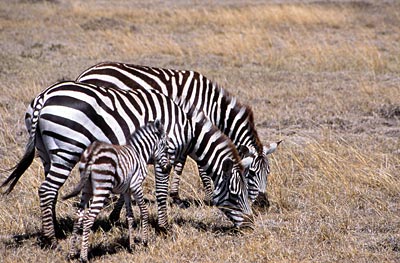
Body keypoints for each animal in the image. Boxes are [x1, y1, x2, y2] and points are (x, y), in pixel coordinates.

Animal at [62, 120, 170, 262]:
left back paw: (71, 254)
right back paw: (84, 257)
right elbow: (144, 211)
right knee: (88, 218)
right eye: (166, 147)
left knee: (79, 216)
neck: (140, 153)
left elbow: (130, 216)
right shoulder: (136, 185)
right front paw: (144, 242)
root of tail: (92, 154)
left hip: (86, 189)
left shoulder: (126, 191)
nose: (168, 167)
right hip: (102, 188)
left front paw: (131, 246)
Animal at [76, 62, 280, 208]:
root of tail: (86, 72)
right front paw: (209, 195)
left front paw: (175, 196)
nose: (263, 203)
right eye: (251, 172)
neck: (212, 106)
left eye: (268, 172)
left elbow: (180, 164)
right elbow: (201, 168)